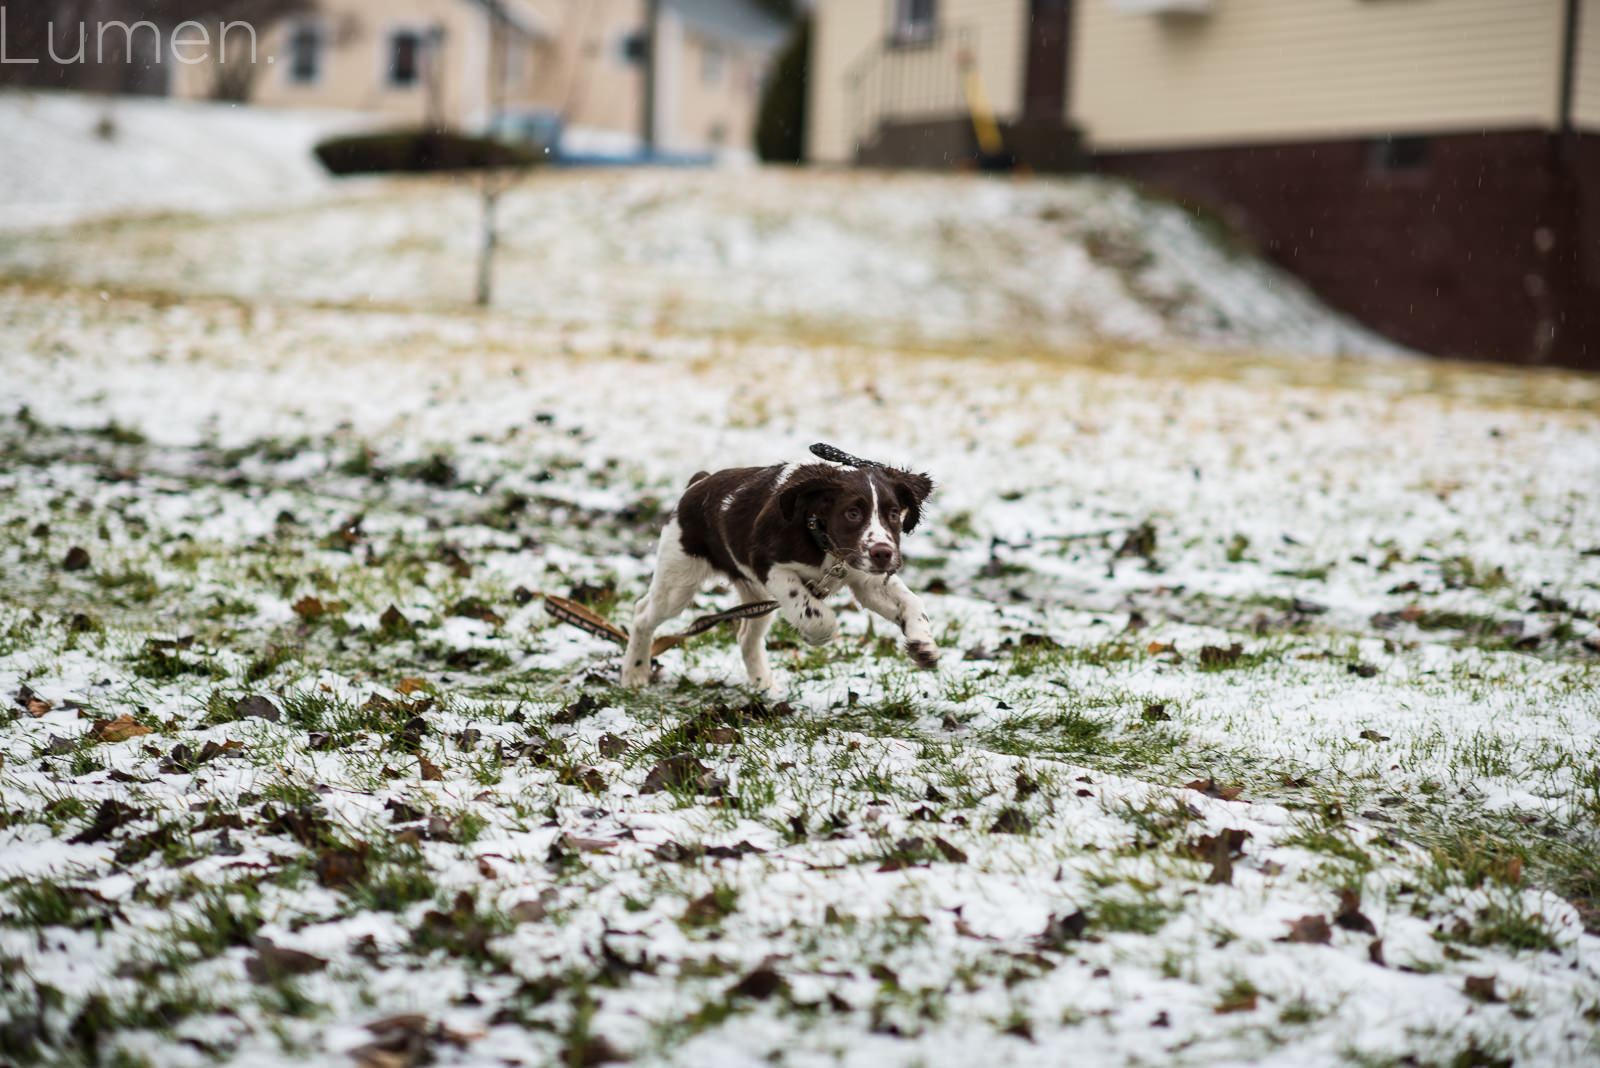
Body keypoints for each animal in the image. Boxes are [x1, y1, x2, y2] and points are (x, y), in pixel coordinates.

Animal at [614, 454, 934, 687]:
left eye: (894, 514)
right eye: (852, 513)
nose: (883, 553)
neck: (822, 540)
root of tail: (697, 483)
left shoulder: (866, 577)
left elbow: (913, 603)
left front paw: (923, 644)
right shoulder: (769, 566)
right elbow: (814, 613)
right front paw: (817, 634)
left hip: (754, 594)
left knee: (747, 638)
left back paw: (765, 687)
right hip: (678, 580)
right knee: (642, 614)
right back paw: (635, 674)